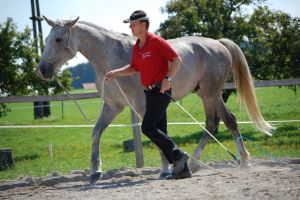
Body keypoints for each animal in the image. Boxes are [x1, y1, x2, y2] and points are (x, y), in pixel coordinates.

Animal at [36, 16, 274, 183]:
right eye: (46, 39)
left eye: (58, 39)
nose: (43, 70)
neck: (113, 58)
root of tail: (218, 43)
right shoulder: (113, 106)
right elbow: (96, 133)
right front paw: (95, 172)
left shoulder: (143, 106)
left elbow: (157, 134)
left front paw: (166, 169)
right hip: (212, 95)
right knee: (230, 120)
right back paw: (242, 161)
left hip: (209, 94)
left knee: (212, 123)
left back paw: (195, 162)